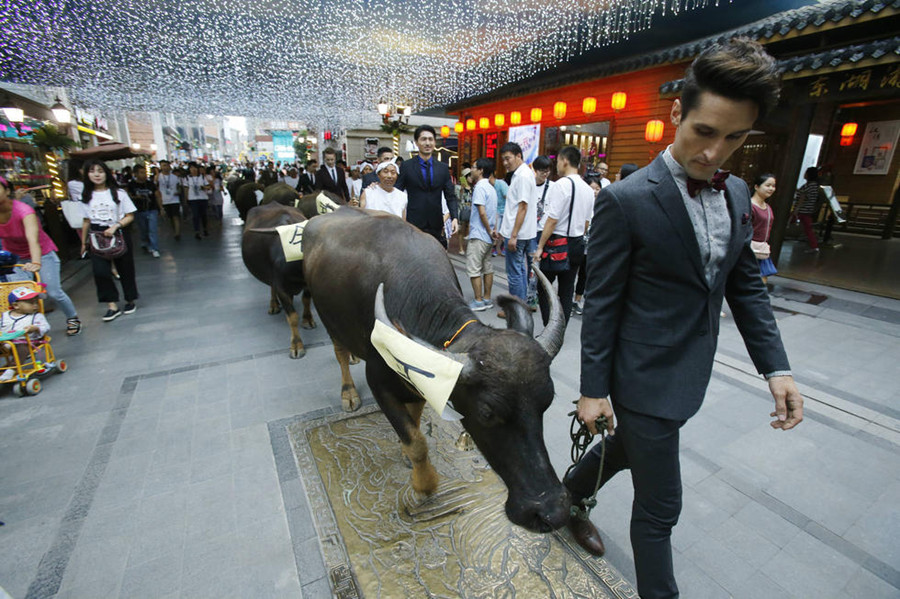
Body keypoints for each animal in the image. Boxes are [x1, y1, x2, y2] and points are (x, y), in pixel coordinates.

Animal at [302, 209, 568, 532]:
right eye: (487, 413)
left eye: (547, 402)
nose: (551, 511)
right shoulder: (378, 383)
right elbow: (416, 441)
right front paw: (424, 485)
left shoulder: (419, 382)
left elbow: (415, 421)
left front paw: (407, 453)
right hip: (328, 319)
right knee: (339, 352)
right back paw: (348, 391)